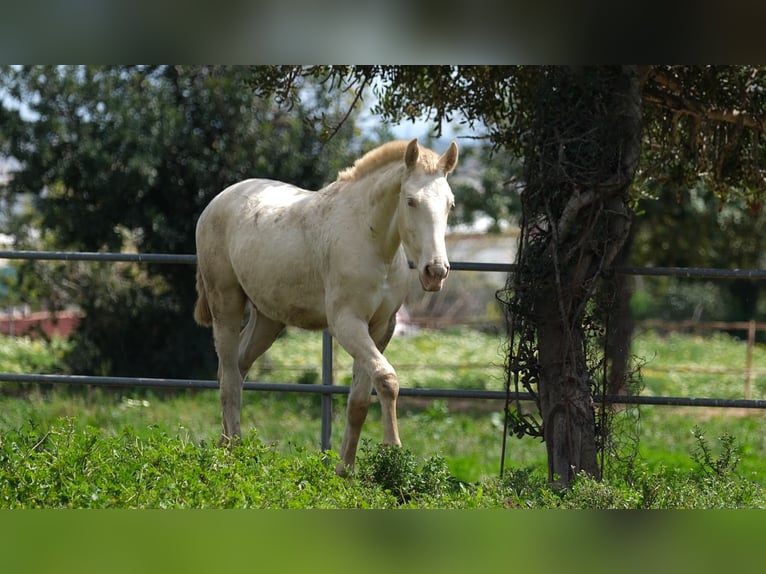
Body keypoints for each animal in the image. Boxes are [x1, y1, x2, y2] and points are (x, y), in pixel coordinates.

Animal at [193, 138, 458, 474]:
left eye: (450, 204)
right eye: (410, 201)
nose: (435, 272)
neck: (372, 243)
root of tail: (217, 201)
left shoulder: (380, 328)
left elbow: (359, 402)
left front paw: (344, 472)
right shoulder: (347, 324)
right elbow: (387, 379)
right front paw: (393, 451)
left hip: (267, 319)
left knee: (235, 371)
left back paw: (227, 447)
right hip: (225, 304)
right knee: (228, 379)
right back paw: (233, 457)